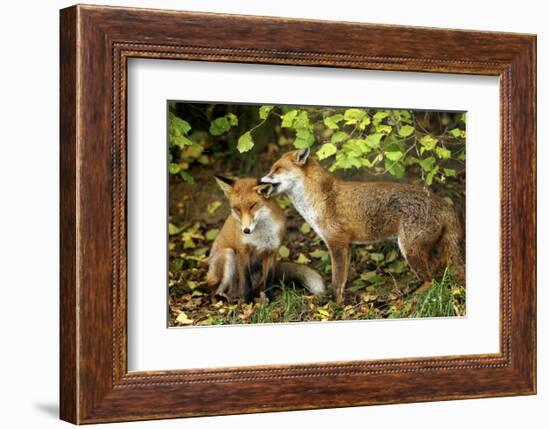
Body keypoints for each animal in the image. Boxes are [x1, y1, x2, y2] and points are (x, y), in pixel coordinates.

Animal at [264, 149, 466, 302]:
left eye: (277, 169)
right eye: (271, 169)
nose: (260, 181)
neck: (319, 198)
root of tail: (443, 203)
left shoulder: (337, 243)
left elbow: (336, 281)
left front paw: (336, 304)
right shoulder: (347, 245)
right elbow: (343, 280)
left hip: (410, 250)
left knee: (431, 281)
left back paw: (410, 298)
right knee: (439, 273)